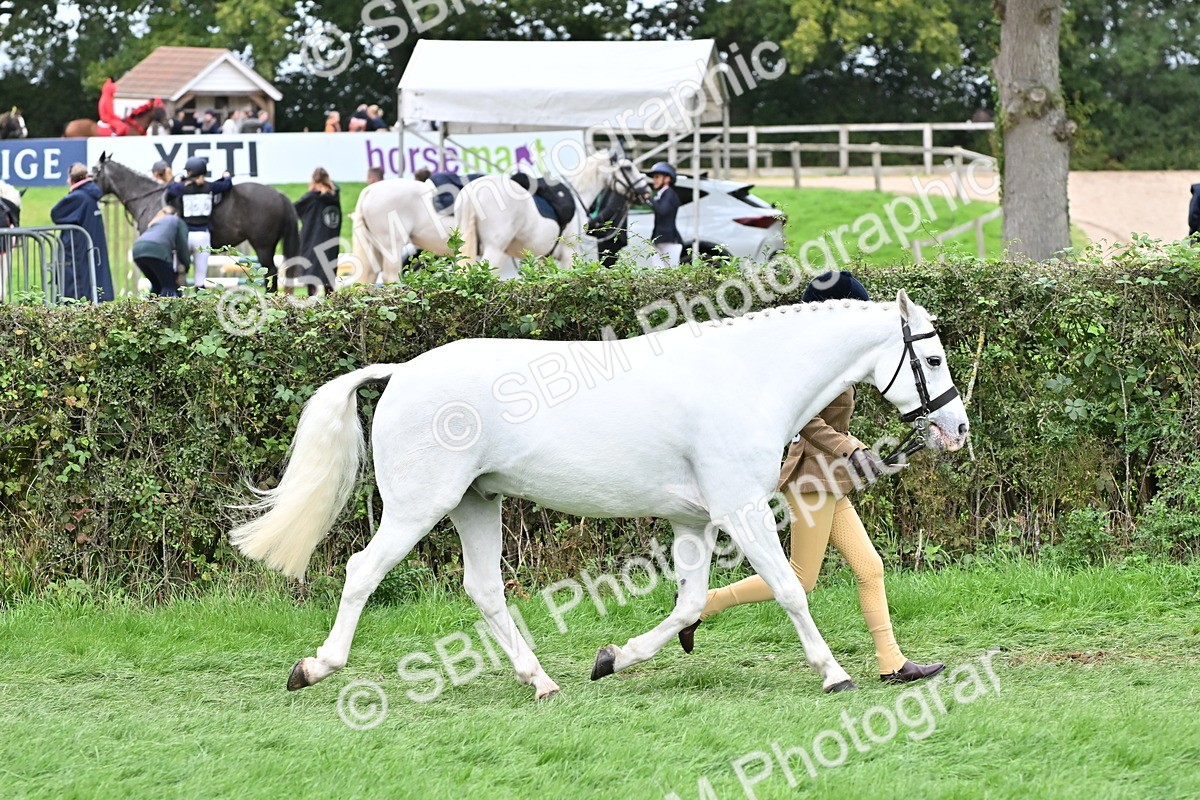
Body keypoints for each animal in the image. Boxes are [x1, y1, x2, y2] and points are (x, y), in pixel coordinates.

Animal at [229, 291, 970, 700]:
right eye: (932, 358)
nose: (956, 429)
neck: (747, 376)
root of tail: (403, 372)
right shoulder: (740, 509)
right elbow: (789, 589)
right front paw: (834, 673)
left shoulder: (695, 521)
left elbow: (690, 602)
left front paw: (614, 658)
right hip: (420, 507)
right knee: (362, 571)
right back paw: (313, 668)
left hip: (477, 503)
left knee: (485, 591)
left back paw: (542, 682)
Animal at [455, 150, 649, 277]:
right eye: (628, 168)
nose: (645, 190)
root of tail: (473, 191)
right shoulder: (570, 254)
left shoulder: (544, 258)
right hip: (494, 251)